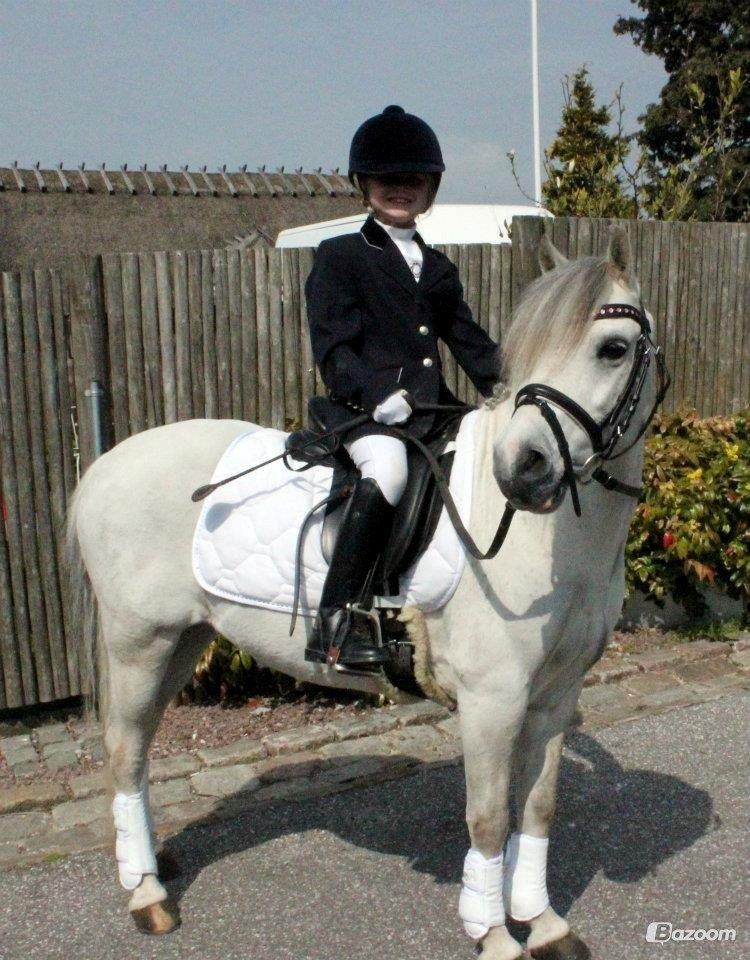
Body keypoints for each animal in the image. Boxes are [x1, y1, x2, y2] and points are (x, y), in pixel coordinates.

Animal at [66, 229, 664, 956]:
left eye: (613, 349)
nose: (521, 471)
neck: (547, 542)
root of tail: (103, 466)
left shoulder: (555, 694)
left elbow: (539, 805)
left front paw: (545, 923)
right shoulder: (492, 701)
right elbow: (489, 817)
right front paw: (494, 933)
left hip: (183, 639)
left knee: (142, 743)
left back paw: (152, 860)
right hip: (138, 642)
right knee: (125, 749)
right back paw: (147, 893)